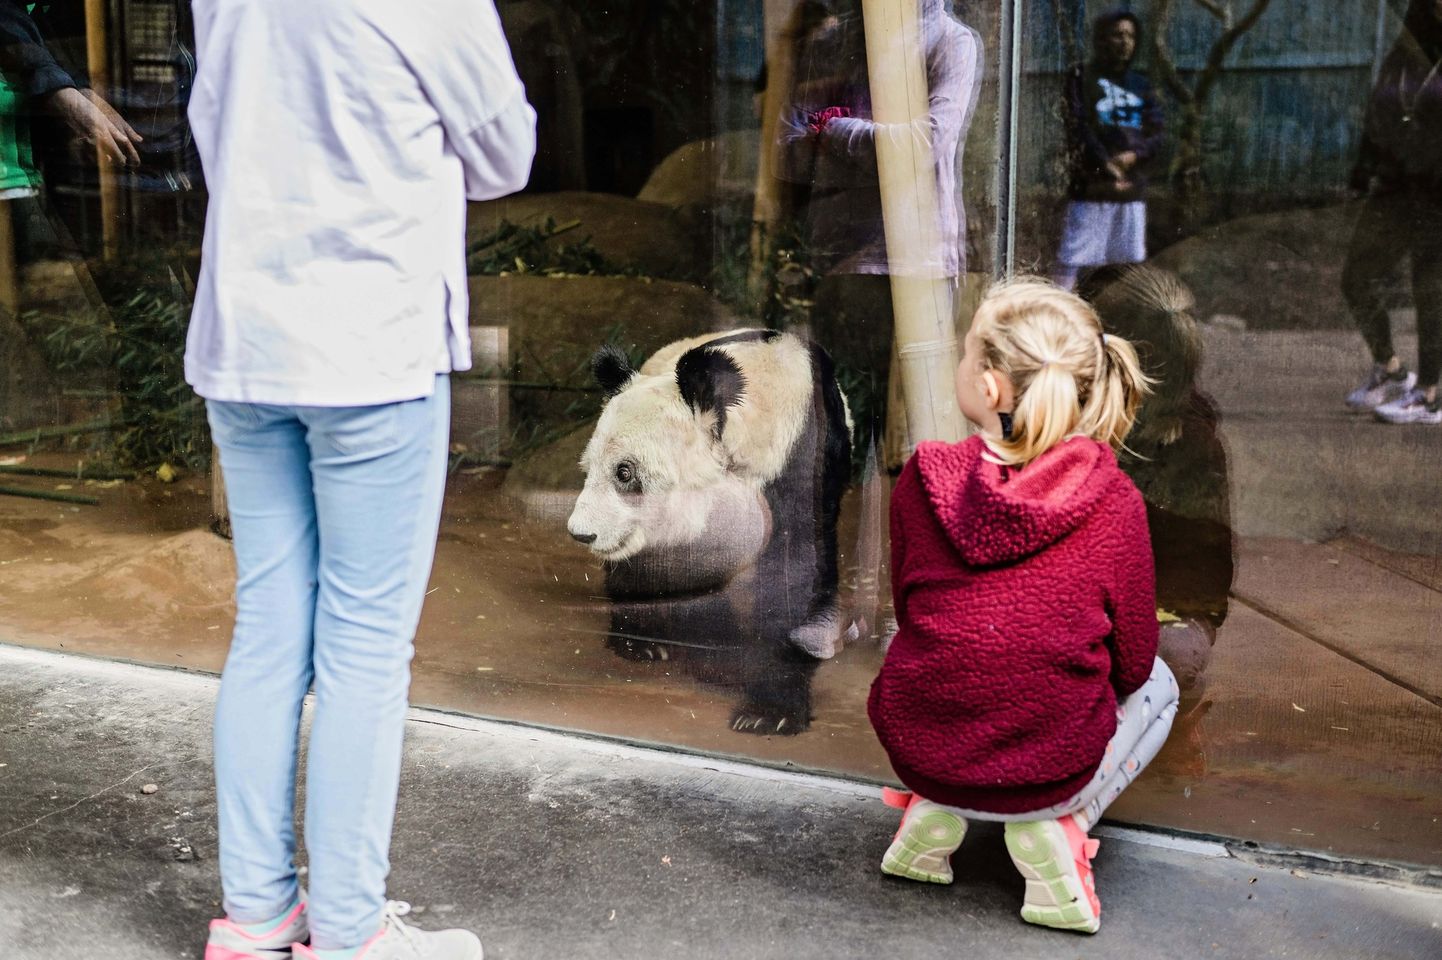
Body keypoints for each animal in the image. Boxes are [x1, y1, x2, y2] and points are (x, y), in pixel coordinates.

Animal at [566, 328, 853, 735]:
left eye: (624, 472)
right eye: (589, 468)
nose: (582, 533)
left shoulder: (802, 465)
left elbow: (791, 572)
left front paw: (769, 713)